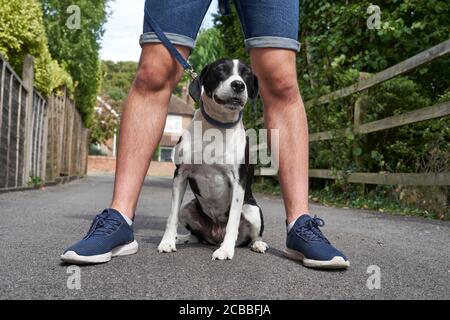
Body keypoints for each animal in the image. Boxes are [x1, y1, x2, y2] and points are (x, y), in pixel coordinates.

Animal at [157, 59, 268, 260]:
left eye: (247, 75)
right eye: (220, 70)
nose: (238, 85)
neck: (218, 126)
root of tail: (215, 235)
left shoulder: (238, 181)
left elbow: (233, 220)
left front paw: (226, 250)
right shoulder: (180, 174)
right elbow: (172, 215)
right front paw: (167, 242)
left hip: (252, 210)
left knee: (254, 236)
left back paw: (257, 244)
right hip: (188, 208)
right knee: (196, 235)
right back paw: (182, 238)